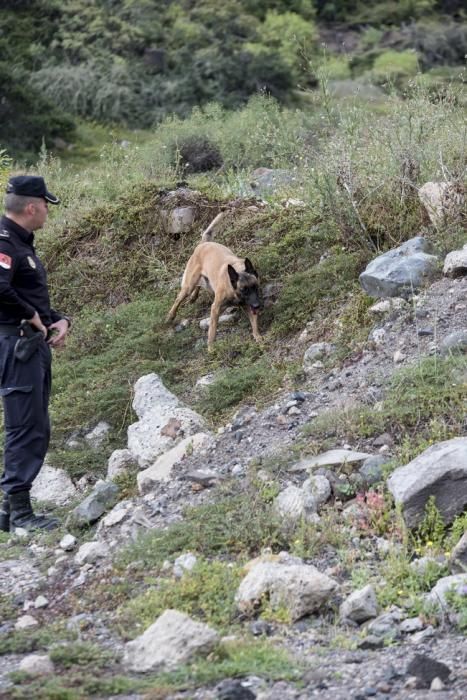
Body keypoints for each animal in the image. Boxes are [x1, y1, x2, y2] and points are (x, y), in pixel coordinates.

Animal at [168, 217, 264, 348]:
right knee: (179, 299)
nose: (257, 305)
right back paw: (171, 315)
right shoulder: (215, 308)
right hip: (189, 285)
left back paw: (193, 297)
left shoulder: (248, 305)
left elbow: (254, 323)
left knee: (199, 285)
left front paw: (258, 336)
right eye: (243, 290)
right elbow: (212, 331)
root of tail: (203, 244)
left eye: (255, 287)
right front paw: (211, 348)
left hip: (207, 283)